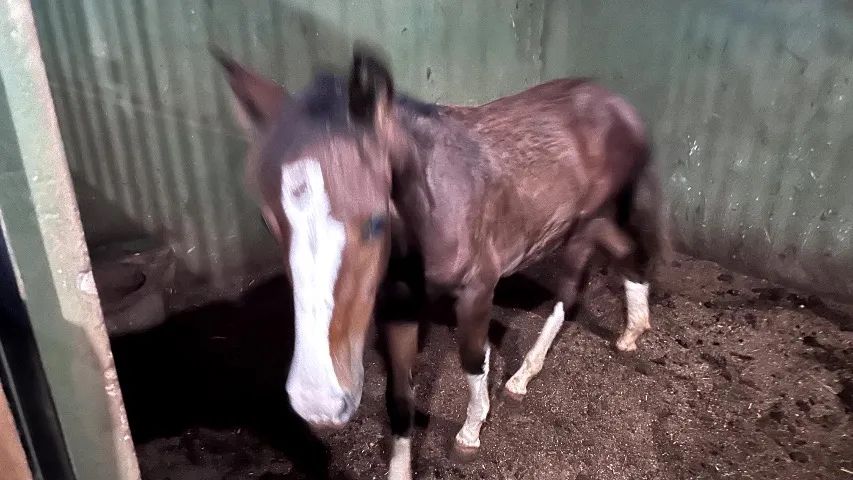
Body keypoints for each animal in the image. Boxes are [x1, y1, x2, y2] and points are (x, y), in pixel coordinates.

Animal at [214, 45, 668, 479]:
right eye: (267, 221)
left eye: (376, 221)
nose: (318, 402)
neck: (434, 204)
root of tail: (620, 107)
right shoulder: (397, 306)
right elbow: (399, 399)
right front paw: (400, 468)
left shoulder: (477, 290)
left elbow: (473, 360)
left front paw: (470, 433)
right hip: (595, 221)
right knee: (631, 256)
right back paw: (632, 331)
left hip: (584, 225)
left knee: (569, 295)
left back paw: (523, 376)